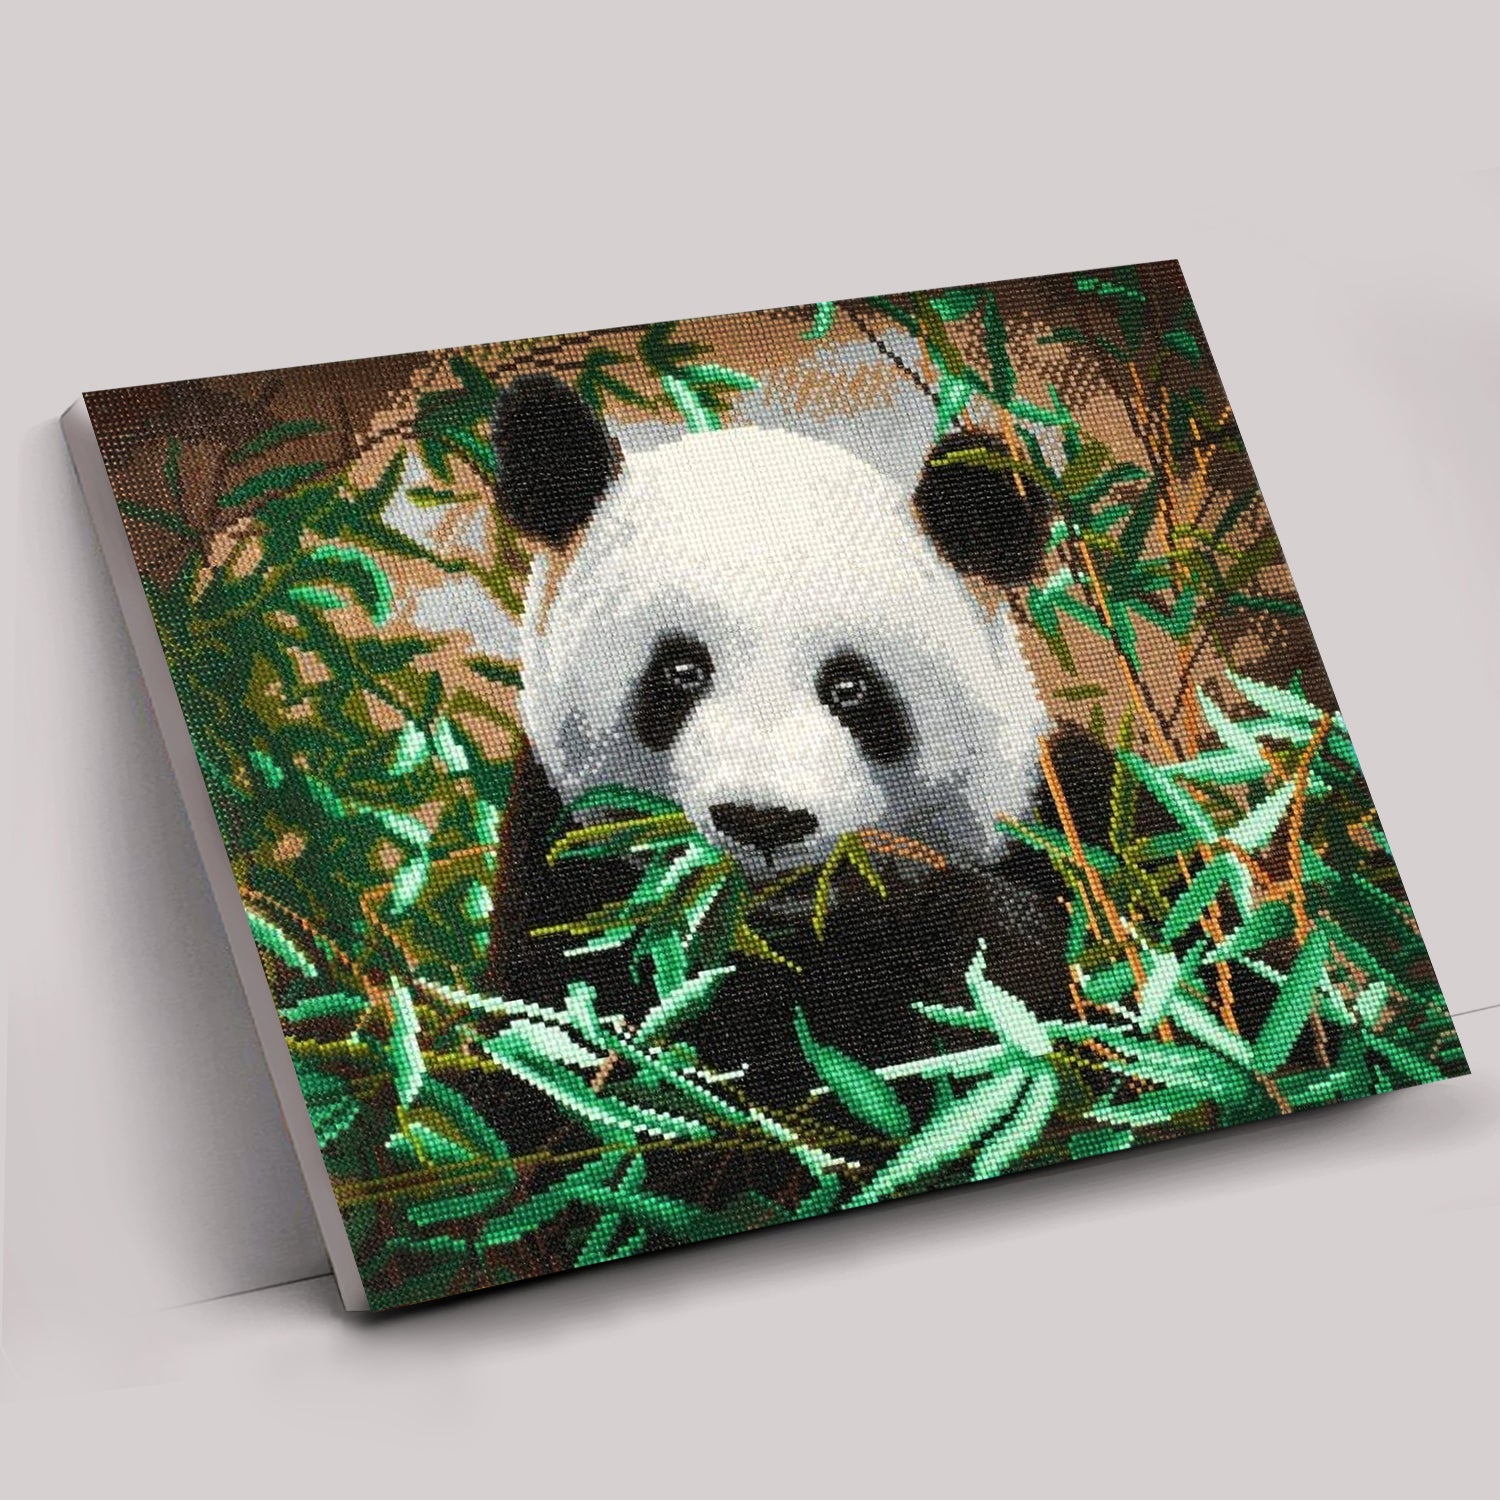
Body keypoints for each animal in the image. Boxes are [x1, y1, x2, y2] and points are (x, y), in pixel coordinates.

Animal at [478, 373, 1127, 1125]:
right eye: (681, 670)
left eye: (850, 687)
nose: (763, 821)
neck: (796, 920)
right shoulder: (571, 891)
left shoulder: (1060, 812)